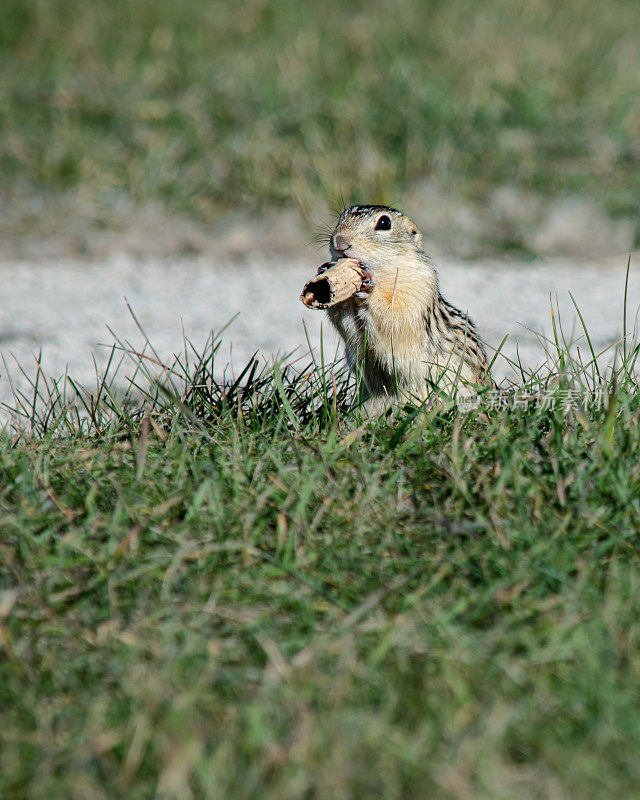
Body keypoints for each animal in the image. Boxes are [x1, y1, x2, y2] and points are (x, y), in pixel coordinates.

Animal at [322, 203, 488, 416]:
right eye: (341, 217)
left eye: (384, 223)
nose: (340, 242)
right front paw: (326, 271)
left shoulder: (419, 288)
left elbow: (396, 317)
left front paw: (369, 291)